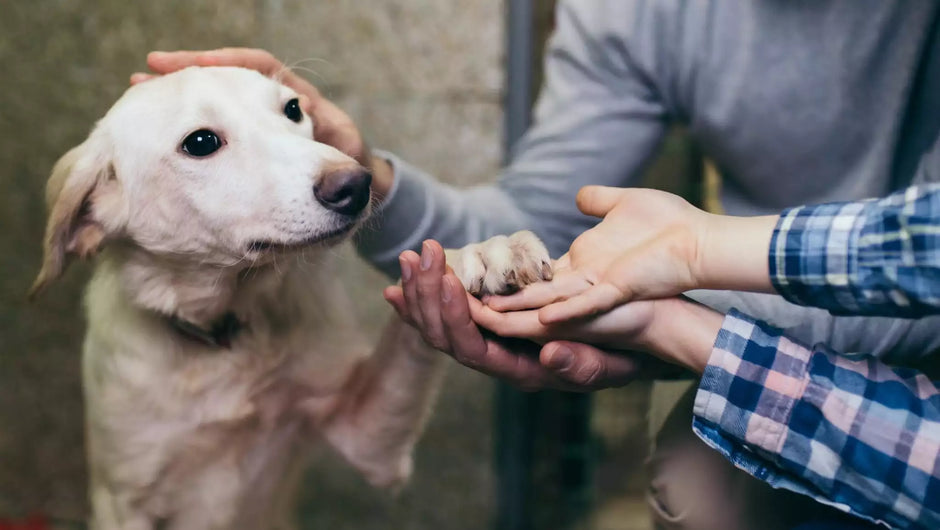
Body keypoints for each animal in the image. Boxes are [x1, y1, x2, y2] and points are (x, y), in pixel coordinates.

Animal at [31, 67, 552, 528]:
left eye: (294, 109)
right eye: (200, 143)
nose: (356, 184)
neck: (227, 335)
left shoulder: (368, 437)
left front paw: (477, 255)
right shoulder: (124, 501)